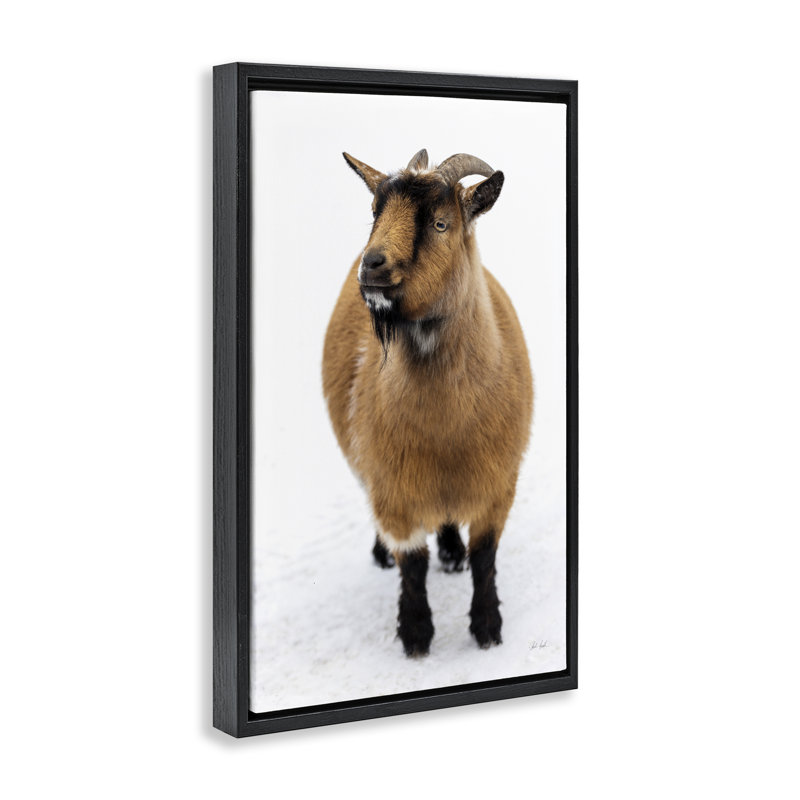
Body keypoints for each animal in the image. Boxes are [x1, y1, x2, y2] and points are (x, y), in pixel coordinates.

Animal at [322, 148, 533, 656]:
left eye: (440, 224)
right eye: (375, 212)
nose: (372, 266)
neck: (446, 431)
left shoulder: (498, 484)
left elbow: (485, 557)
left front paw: (488, 628)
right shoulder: (395, 487)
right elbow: (413, 563)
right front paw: (416, 634)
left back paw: (452, 552)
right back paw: (383, 555)